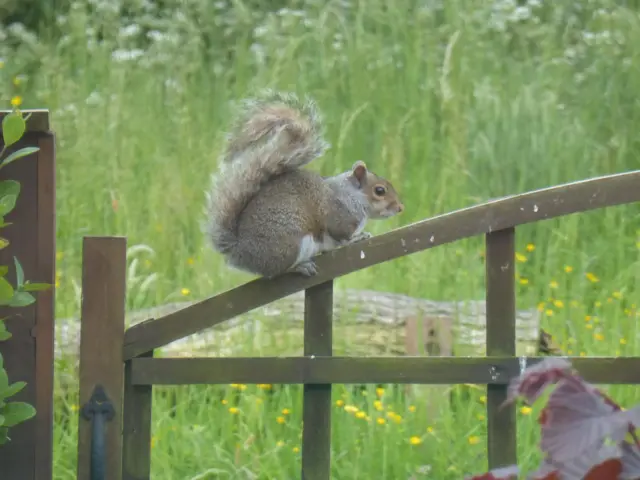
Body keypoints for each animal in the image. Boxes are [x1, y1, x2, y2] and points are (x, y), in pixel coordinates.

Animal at [204, 90, 404, 279]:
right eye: (380, 190)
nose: (400, 208)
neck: (352, 195)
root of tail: (239, 250)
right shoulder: (338, 215)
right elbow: (341, 236)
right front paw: (357, 238)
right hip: (289, 244)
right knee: (276, 272)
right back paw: (299, 267)